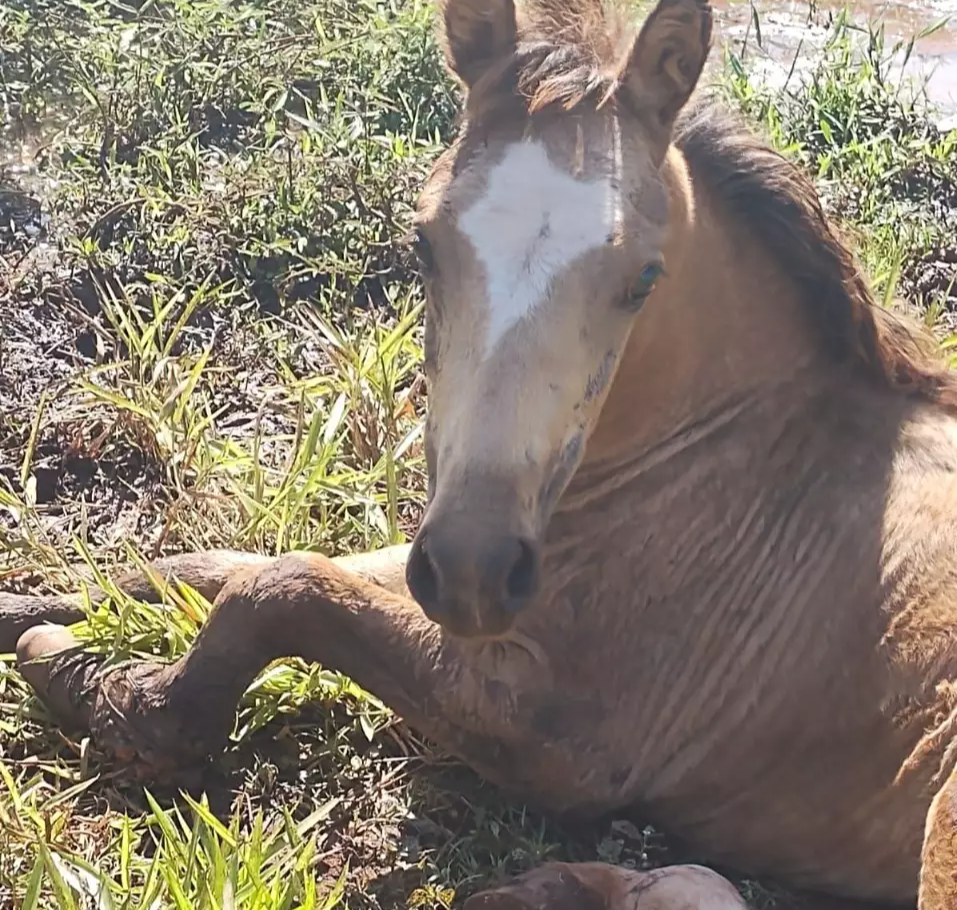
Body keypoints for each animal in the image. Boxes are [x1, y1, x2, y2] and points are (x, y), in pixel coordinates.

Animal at [5, 0, 956, 908]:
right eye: (422, 243)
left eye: (643, 279)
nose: (473, 571)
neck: (731, 456)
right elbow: (213, 565)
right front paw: (35, 607)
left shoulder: (559, 737)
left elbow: (283, 590)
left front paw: (111, 691)